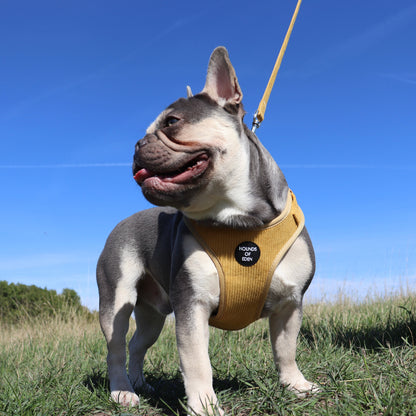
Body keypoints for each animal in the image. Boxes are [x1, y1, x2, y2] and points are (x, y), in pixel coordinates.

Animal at [96, 47, 318, 414]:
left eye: (172, 122)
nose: (138, 144)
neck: (241, 221)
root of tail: (122, 222)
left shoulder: (290, 302)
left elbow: (286, 348)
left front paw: (295, 385)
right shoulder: (192, 305)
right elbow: (197, 362)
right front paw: (204, 406)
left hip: (152, 315)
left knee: (137, 345)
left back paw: (139, 383)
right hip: (117, 300)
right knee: (115, 347)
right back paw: (122, 392)